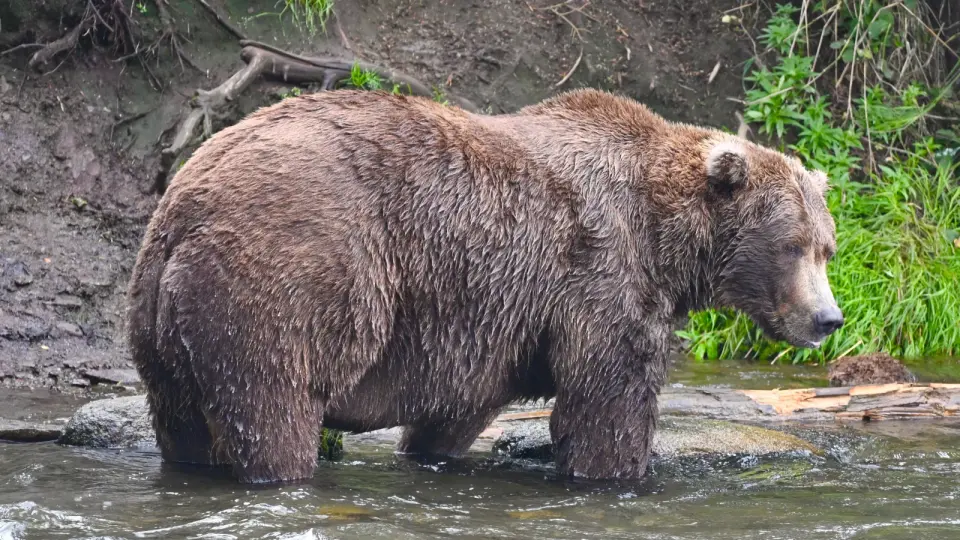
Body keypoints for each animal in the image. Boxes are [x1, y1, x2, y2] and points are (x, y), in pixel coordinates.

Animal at [126, 88, 844, 484]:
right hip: (286, 275)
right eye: (791, 246)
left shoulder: (494, 318)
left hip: (160, 318)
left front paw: (433, 451)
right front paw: (620, 474)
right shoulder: (600, 271)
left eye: (827, 247)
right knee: (272, 403)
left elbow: (459, 408)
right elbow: (609, 398)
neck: (667, 234)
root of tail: (187, 202)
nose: (828, 319)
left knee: (183, 423)